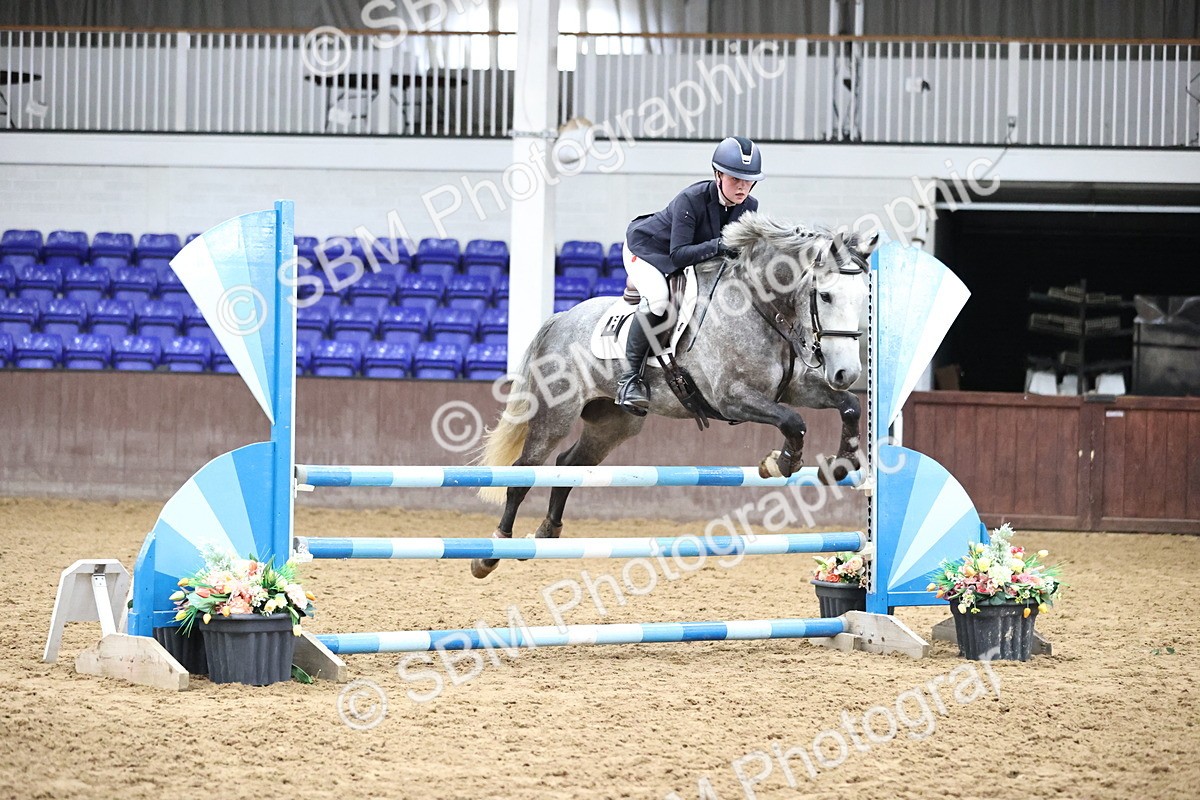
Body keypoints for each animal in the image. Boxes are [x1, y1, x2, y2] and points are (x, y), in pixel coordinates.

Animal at [470, 213, 878, 578]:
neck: (759, 306)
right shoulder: (732, 397)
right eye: (825, 295)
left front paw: (841, 464)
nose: (847, 373)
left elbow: (850, 405)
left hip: (613, 424)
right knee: (523, 472)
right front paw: (781, 462)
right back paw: (491, 552)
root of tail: (562, 317)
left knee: (568, 465)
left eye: (863, 297)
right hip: (555, 414)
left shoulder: (793, 388)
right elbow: (794, 420)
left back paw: (547, 531)